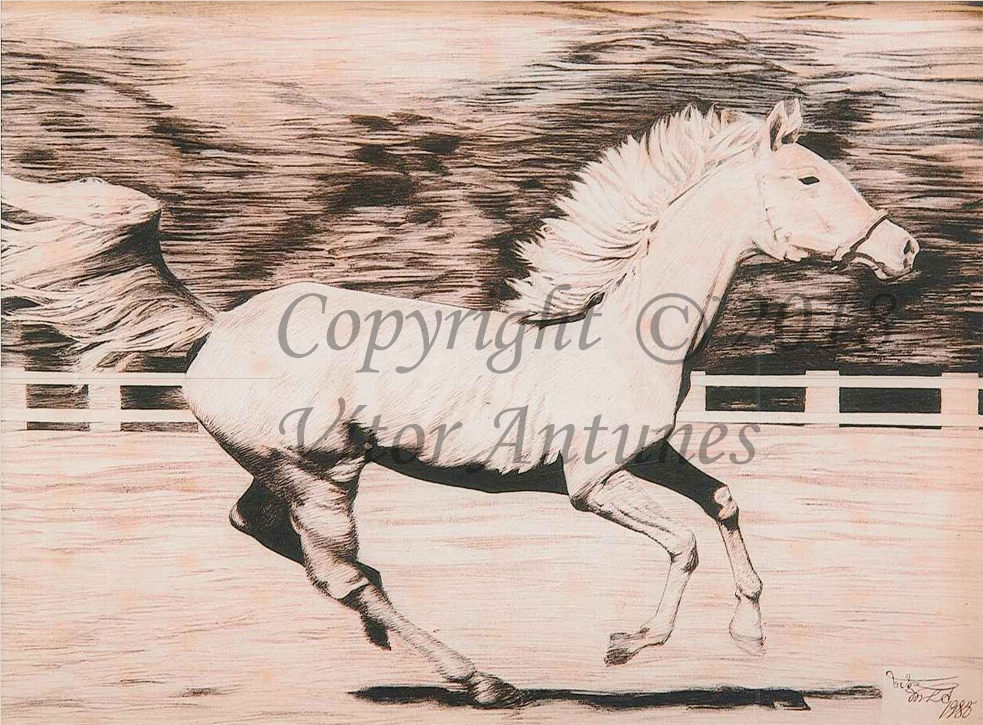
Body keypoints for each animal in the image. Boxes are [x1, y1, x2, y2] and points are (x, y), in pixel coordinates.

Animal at [1, 100, 919, 707]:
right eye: (807, 177)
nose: (903, 249)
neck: (629, 336)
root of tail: (216, 326)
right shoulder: (592, 483)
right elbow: (683, 543)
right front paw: (627, 646)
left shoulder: (648, 454)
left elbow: (724, 501)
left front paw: (750, 635)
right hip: (323, 473)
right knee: (340, 572)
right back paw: (480, 678)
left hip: (288, 472)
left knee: (271, 535)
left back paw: (403, 645)